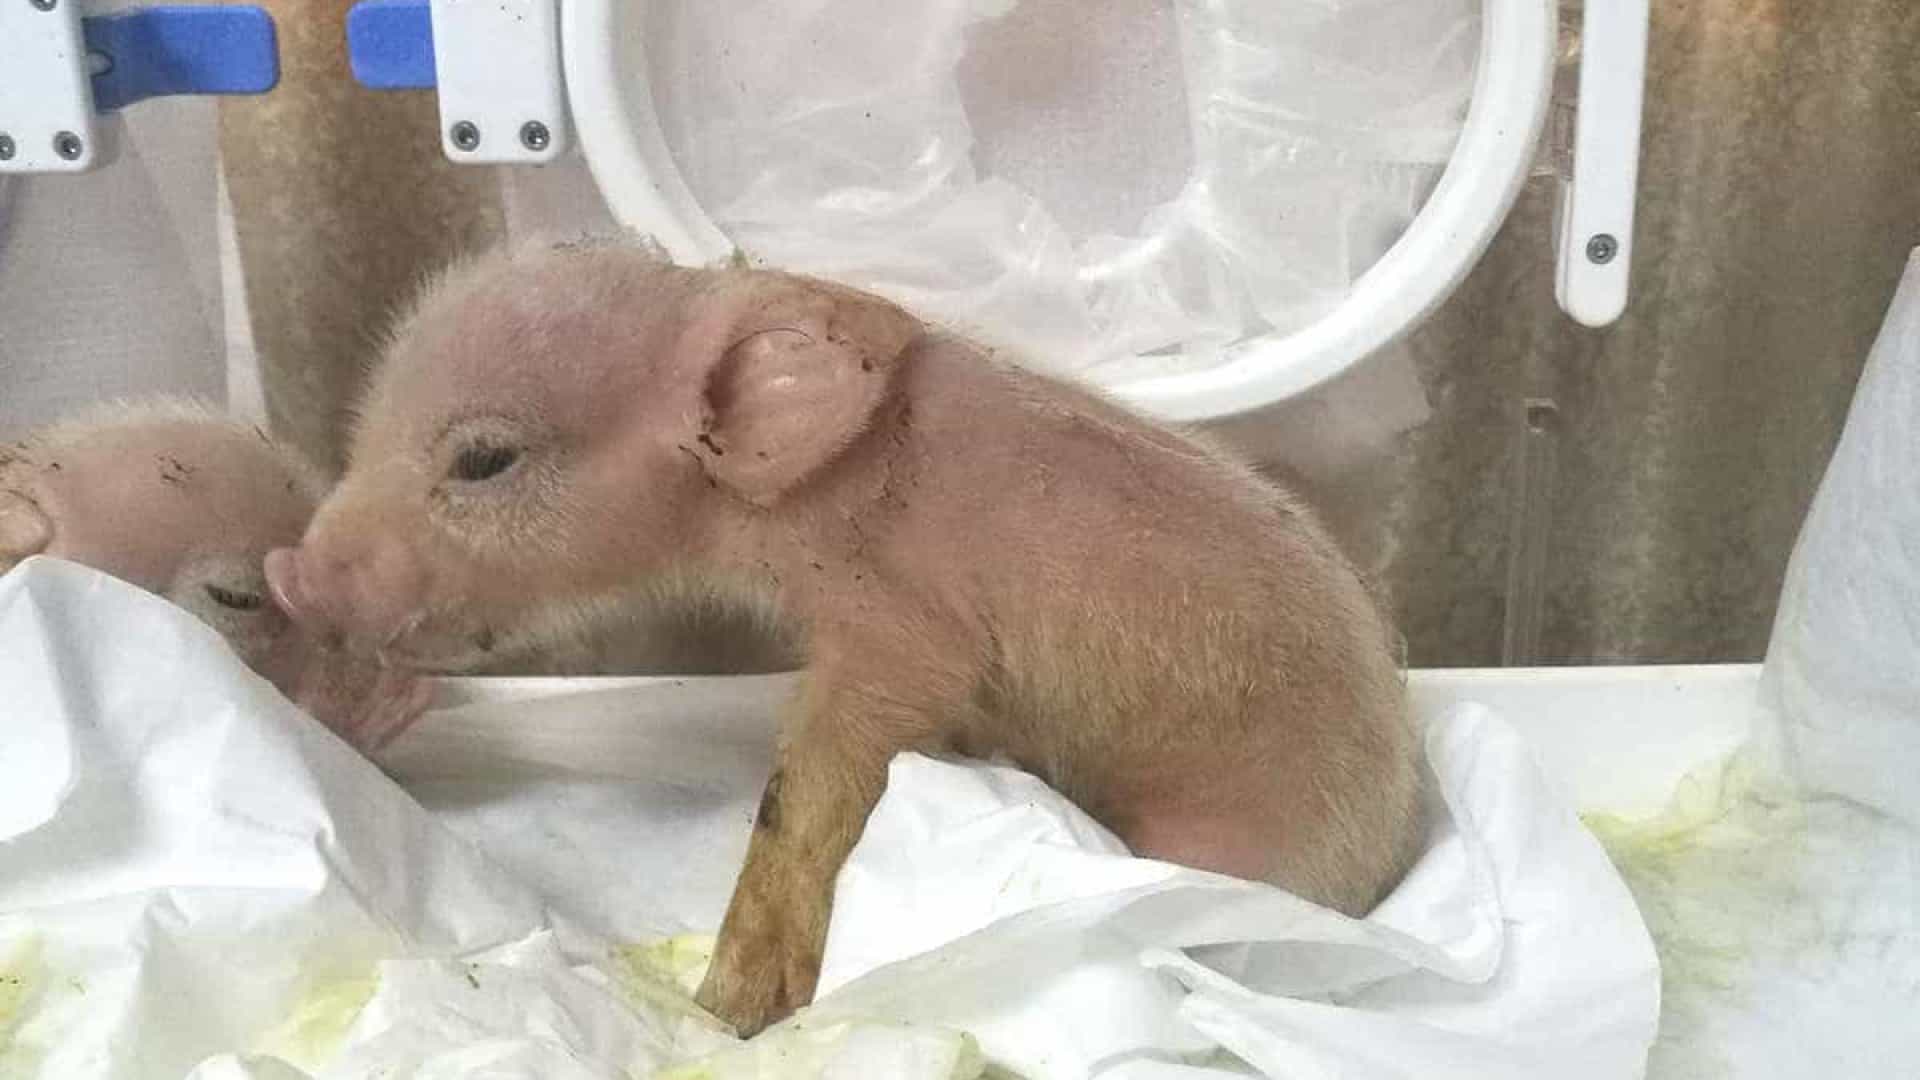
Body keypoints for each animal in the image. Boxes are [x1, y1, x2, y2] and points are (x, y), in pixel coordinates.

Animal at [265, 239, 1424, 1035]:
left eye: (485, 460)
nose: (288, 572)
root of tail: (1391, 845)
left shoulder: (902, 631)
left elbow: (814, 785)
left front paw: (724, 1012)